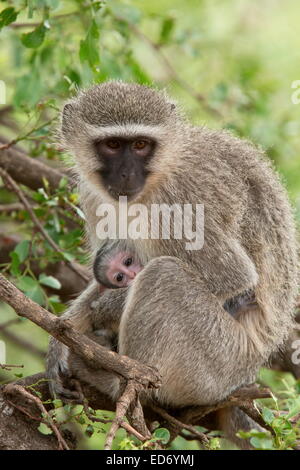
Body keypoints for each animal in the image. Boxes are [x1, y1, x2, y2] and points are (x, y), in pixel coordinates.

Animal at [47, 82, 298, 446]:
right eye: (112, 145)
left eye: (140, 145)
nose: (126, 174)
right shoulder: (94, 196)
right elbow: (101, 273)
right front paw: (61, 339)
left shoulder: (180, 201)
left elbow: (233, 275)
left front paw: (106, 309)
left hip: (219, 362)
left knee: (164, 276)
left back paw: (125, 382)